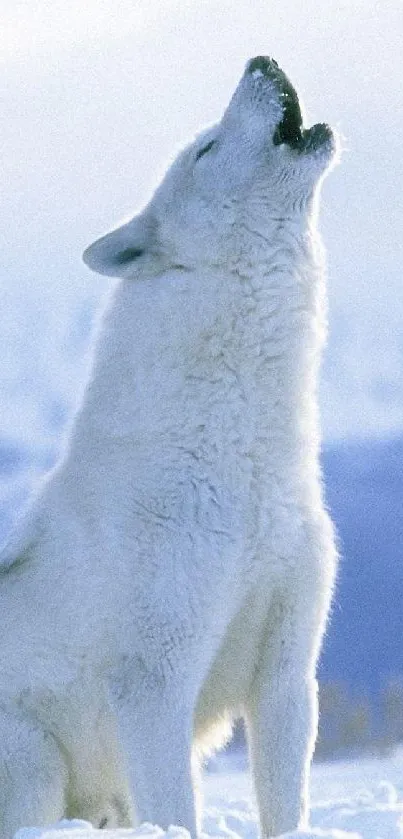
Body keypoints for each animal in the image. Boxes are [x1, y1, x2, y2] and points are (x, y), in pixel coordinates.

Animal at [0, 55, 340, 836]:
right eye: (206, 151)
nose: (261, 59)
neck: (241, 459)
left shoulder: (287, 675)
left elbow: (287, 807)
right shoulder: (153, 684)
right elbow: (178, 813)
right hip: (34, 765)